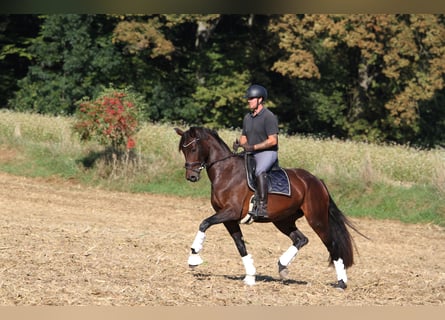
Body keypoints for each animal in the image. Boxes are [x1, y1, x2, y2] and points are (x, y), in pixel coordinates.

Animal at [173, 126, 360, 288]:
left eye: (193, 149)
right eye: (183, 150)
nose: (191, 176)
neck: (226, 171)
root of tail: (317, 181)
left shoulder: (230, 212)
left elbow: (204, 223)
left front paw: (194, 257)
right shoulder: (228, 218)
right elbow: (240, 245)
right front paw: (250, 276)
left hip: (317, 220)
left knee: (332, 245)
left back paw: (341, 282)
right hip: (283, 220)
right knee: (301, 239)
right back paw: (283, 266)